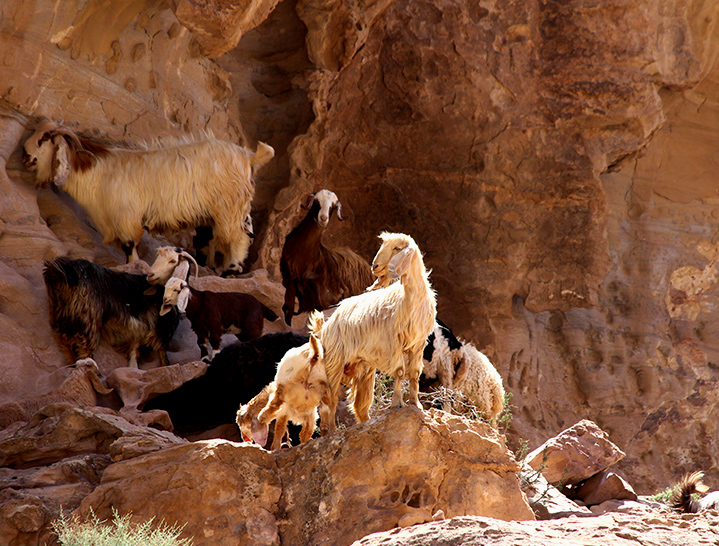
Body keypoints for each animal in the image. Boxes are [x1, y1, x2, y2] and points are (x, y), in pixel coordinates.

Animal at [22, 120, 274, 274]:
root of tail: (248, 155)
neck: (99, 171)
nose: (24, 156)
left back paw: (231, 269)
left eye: (43, 139)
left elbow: (130, 248)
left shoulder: (127, 219)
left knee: (238, 237)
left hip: (229, 206)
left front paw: (133, 267)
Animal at [43, 256, 180, 368]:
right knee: (84, 343)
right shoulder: (160, 332)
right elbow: (162, 357)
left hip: (62, 314)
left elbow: (134, 355)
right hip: (88, 317)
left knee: (65, 339)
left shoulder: (138, 334)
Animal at [280, 189, 374, 325]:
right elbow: (289, 310)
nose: (323, 218)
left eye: (332, 207)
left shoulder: (327, 296)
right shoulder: (290, 280)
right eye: (316, 202)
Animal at [311, 232, 436, 434]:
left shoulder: (418, 343)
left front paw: (415, 404)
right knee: (329, 401)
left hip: (364, 368)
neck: (410, 299)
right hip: (334, 361)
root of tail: (325, 325)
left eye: (396, 248)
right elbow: (400, 372)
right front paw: (397, 404)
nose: (375, 266)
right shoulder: (395, 341)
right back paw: (331, 431)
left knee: (360, 405)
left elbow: (414, 373)